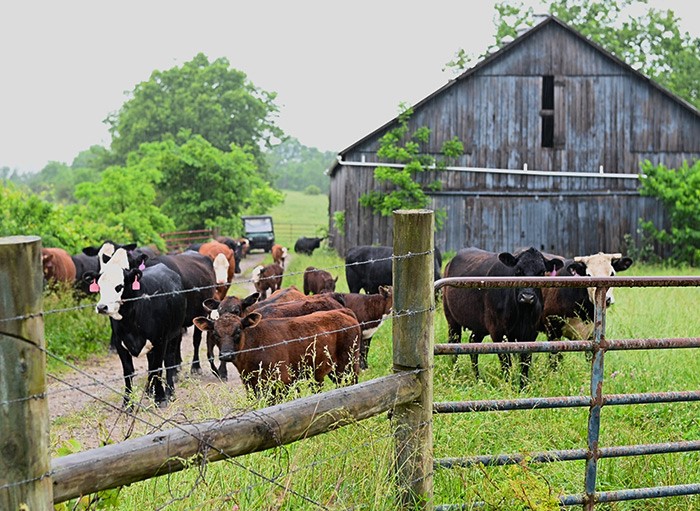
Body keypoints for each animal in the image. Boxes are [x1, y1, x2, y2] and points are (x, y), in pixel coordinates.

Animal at [93, 251, 187, 408]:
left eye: (119, 286)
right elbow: (128, 372)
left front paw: (160, 398)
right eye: (100, 285)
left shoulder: (160, 341)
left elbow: (157, 369)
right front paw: (128, 403)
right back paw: (150, 391)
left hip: (175, 334)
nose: (101, 307)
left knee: (169, 362)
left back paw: (170, 393)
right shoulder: (120, 343)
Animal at [196, 308, 364, 396]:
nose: (226, 355)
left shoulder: (281, 381)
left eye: (238, 331)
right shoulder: (251, 385)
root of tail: (342, 311)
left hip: (348, 366)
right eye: (215, 333)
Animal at [442, 248, 564, 388]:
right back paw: (455, 374)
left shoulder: (531, 333)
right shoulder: (498, 333)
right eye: (518, 270)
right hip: (452, 321)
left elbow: (525, 361)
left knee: (473, 344)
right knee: (454, 345)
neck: (522, 313)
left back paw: (478, 378)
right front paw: (507, 385)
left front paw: (523, 387)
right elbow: (506, 363)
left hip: (479, 326)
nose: (527, 297)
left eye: (542, 272)